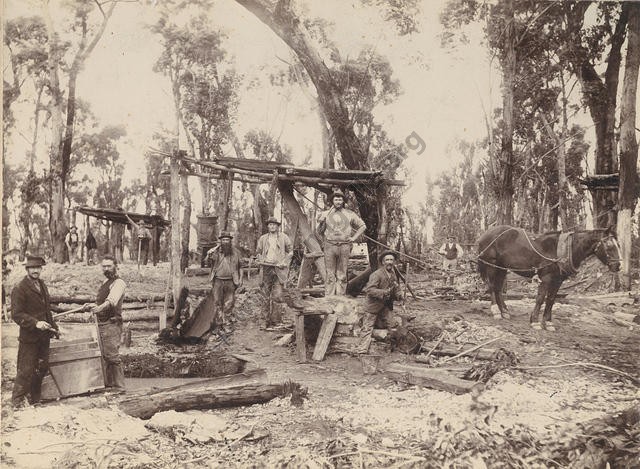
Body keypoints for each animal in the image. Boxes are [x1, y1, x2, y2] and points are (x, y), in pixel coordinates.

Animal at [480, 226, 620, 330]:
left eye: (618, 245)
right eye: (609, 245)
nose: (618, 265)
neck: (563, 250)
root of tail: (486, 233)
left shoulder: (558, 281)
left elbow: (551, 299)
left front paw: (548, 322)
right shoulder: (546, 278)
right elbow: (540, 298)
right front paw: (535, 321)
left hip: (501, 268)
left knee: (498, 288)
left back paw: (504, 311)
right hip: (491, 265)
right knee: (491, 286)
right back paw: (495, 311)